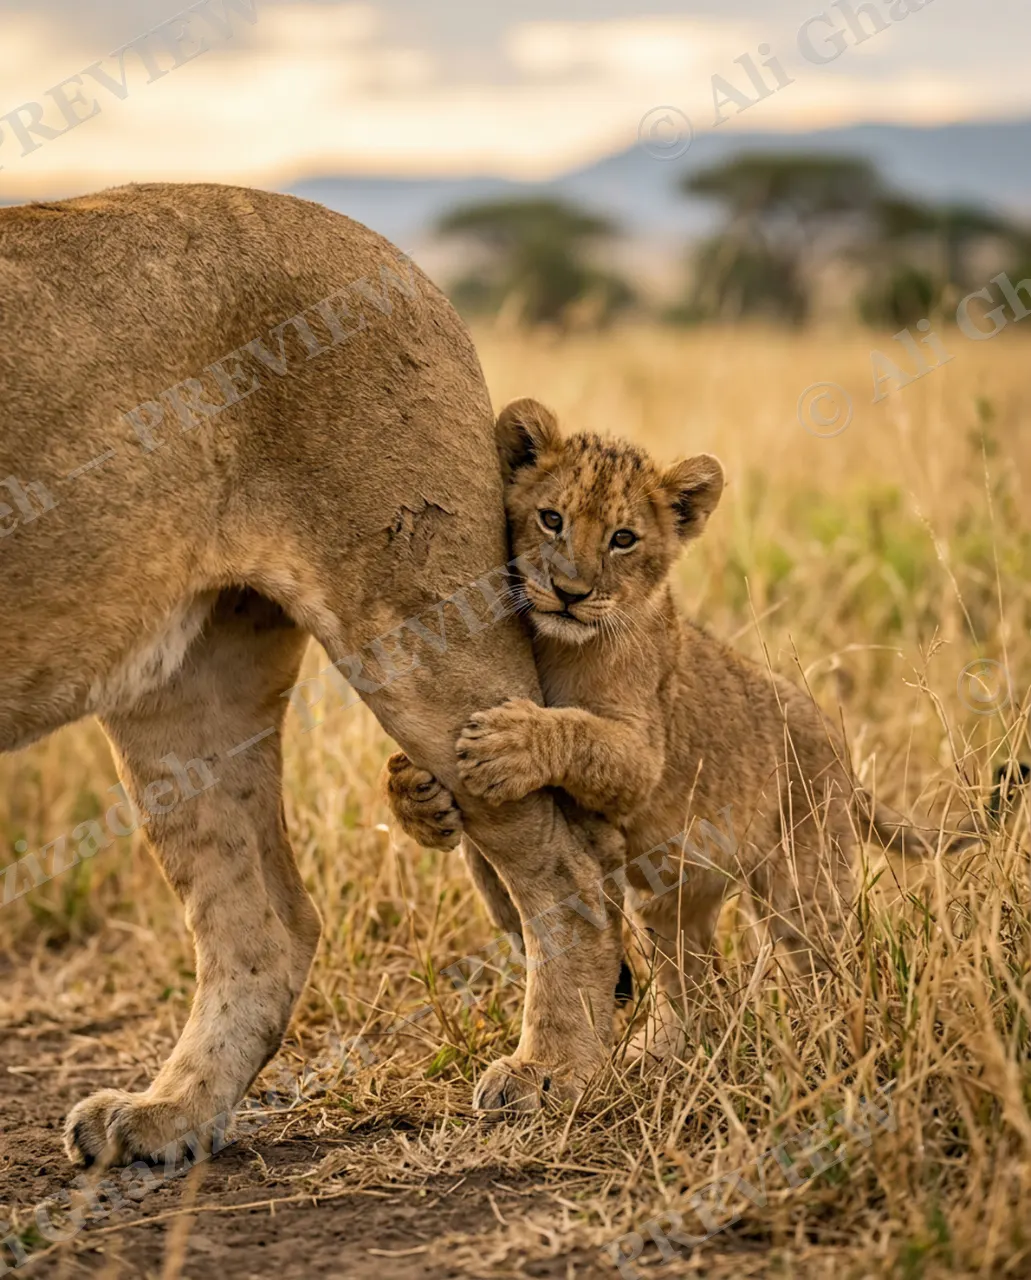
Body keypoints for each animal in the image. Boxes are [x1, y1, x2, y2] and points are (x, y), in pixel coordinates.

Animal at [1, 185, 628, 1167]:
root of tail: (398, 262)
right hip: (184, 684)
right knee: (267, 922)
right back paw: (170, 1115)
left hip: (419, 625)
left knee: (568, 863)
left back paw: (553, 1075)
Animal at [386, 398, 981, 1059]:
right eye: (551, 519)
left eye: (623, 539)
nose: (570, 592)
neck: (557, 646)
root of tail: (841, 754)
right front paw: (416, 795)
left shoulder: (642, 750)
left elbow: (578, 733)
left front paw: (507, 744)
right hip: (677, 897)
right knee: (692, 977)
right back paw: (665, 1050)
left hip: (805, 881)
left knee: (826, 956)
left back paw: (834, 1036)